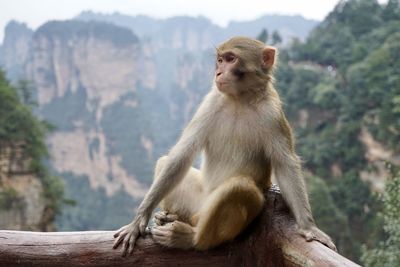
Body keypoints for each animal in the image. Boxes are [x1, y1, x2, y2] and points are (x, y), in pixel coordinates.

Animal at [114, 35, 336, 255]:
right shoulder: (210, 102)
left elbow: (285, 164)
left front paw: (308, 227)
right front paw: (138, 221)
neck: (241, 99)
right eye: (220, 60)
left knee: (240, 187)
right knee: (166, 163)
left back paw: (191, 239)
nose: (218, 72)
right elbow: (181, 155)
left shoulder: (273, 113)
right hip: (195, 199)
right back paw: (171, 218)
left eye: (231, 59)